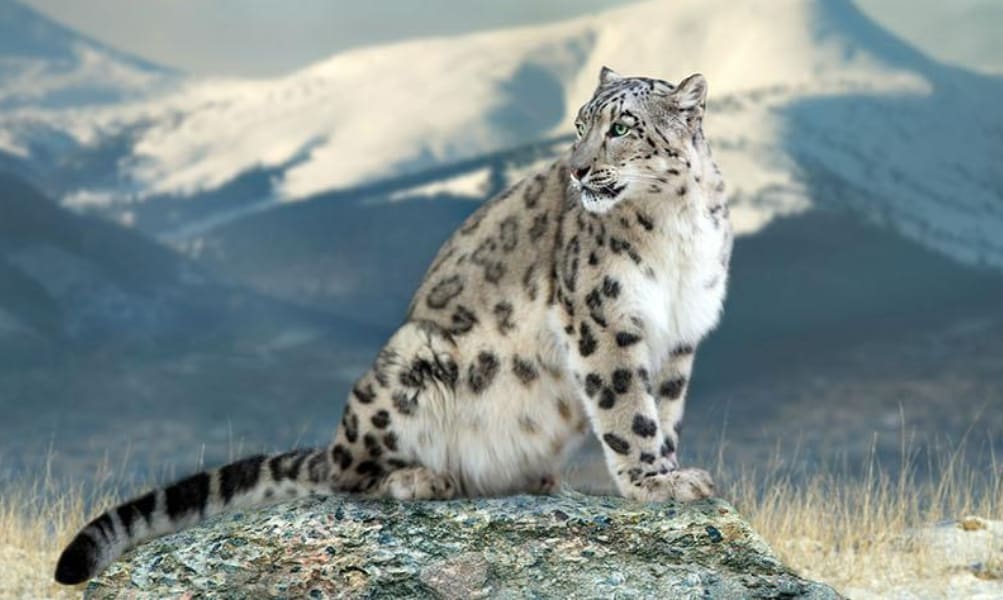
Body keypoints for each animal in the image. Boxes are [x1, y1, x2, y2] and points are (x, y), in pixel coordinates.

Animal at [55, 67, 732, 585]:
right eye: (579, 124)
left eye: (621, 127)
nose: (578, 170)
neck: (676, 232)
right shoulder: (601, 316)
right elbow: (626, 408)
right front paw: (653, 481)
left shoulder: (680, 335)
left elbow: (663, 408)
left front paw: (672, 471)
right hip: (412, 362)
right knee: (347, 477)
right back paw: (423, 477)